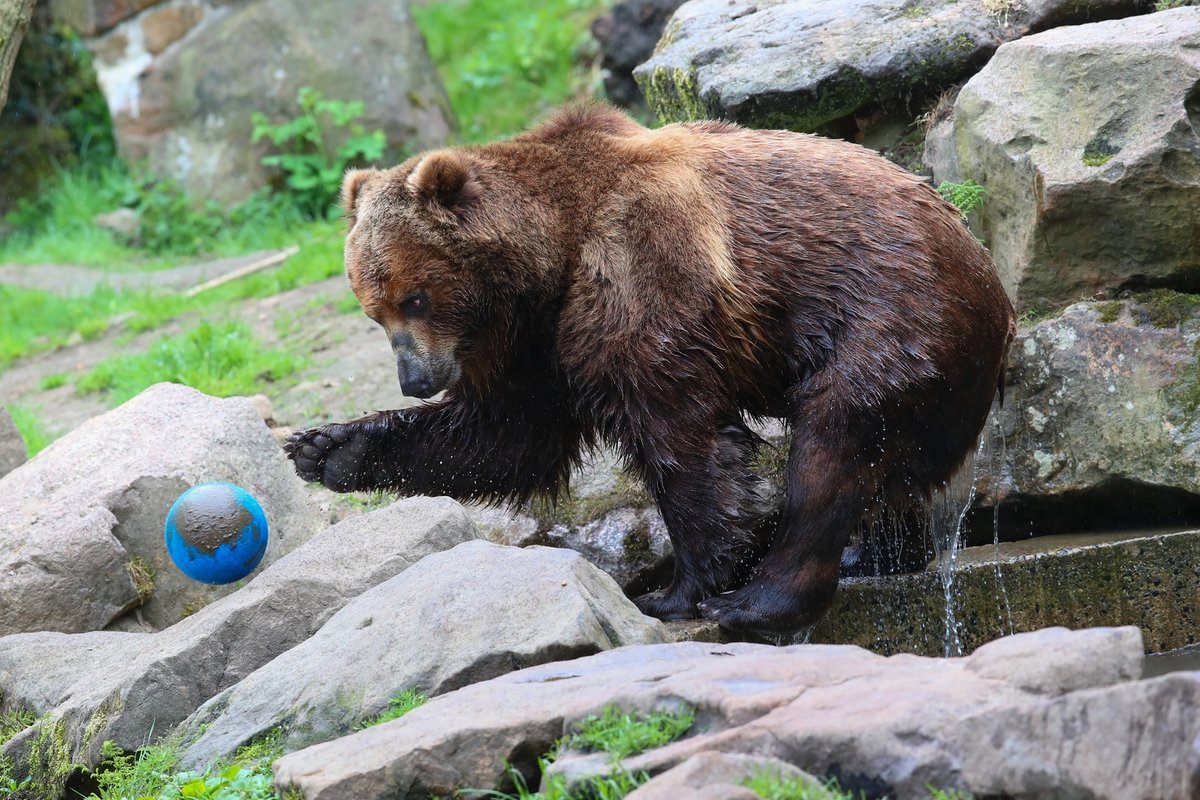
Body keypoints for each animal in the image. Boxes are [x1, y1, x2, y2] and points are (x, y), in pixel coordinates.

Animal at [285, 103, 1017, 633]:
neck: (549, 264)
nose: (416, 380)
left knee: (835, 444)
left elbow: (680, 435)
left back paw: (762, 599)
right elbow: (505, 437)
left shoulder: (643, 270)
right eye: (373, 310)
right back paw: (877, 553)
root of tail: (991, 280)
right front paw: (329, 447)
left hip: (894, 315)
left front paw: (677, 589)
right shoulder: (540, 348)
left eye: (416, 297)